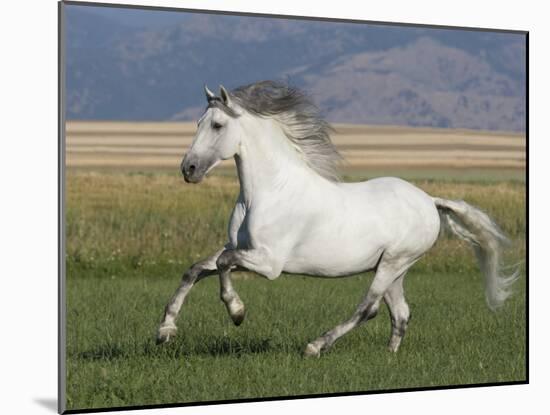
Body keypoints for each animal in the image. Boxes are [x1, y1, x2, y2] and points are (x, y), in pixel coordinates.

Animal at [156, 80, 520, 358]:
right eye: (197, 123)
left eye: (217, 125)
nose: (188, 169)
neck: (268, 191)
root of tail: (430, 201)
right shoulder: (238, 247)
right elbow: (195, 269)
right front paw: (165, 331)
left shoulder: (269, 262)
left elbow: (223, 265)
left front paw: (237, 313)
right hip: (394, 267)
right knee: (400, 313)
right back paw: (389, 358)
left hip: (394, 262)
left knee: (369, 308)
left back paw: (315, 347)